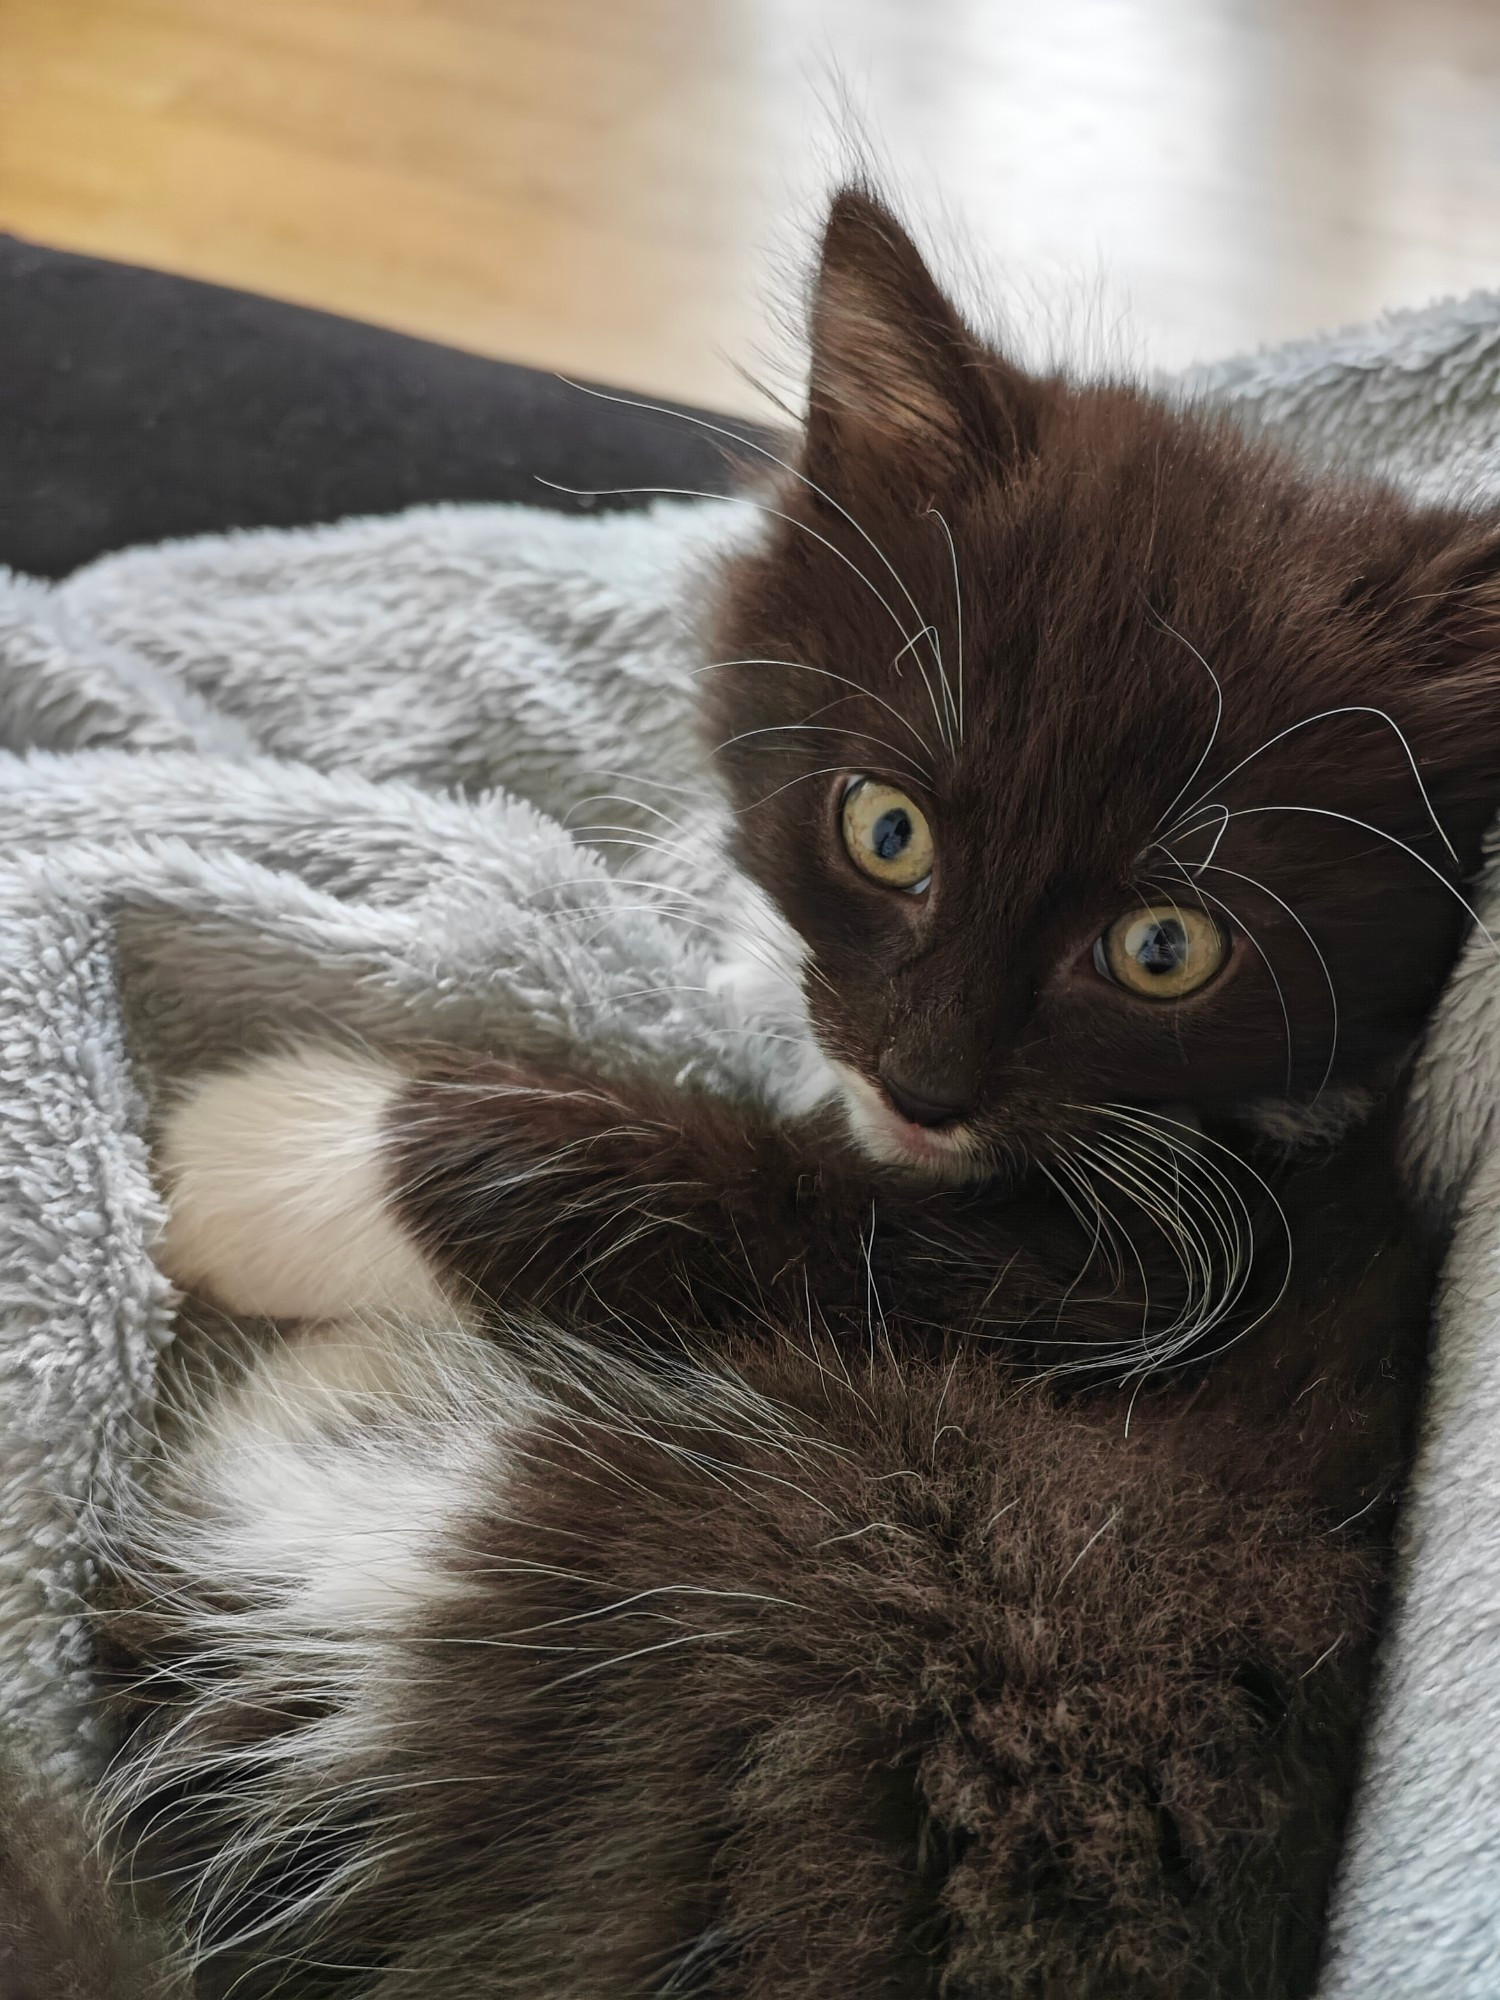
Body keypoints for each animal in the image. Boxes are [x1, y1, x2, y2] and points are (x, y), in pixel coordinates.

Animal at [106, 184, 1500, 1984]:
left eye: (1165, 946)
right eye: (885, 829)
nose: (923, 1078)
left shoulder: (1156, 1274)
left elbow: (795, 1206)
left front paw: (274, 1155)